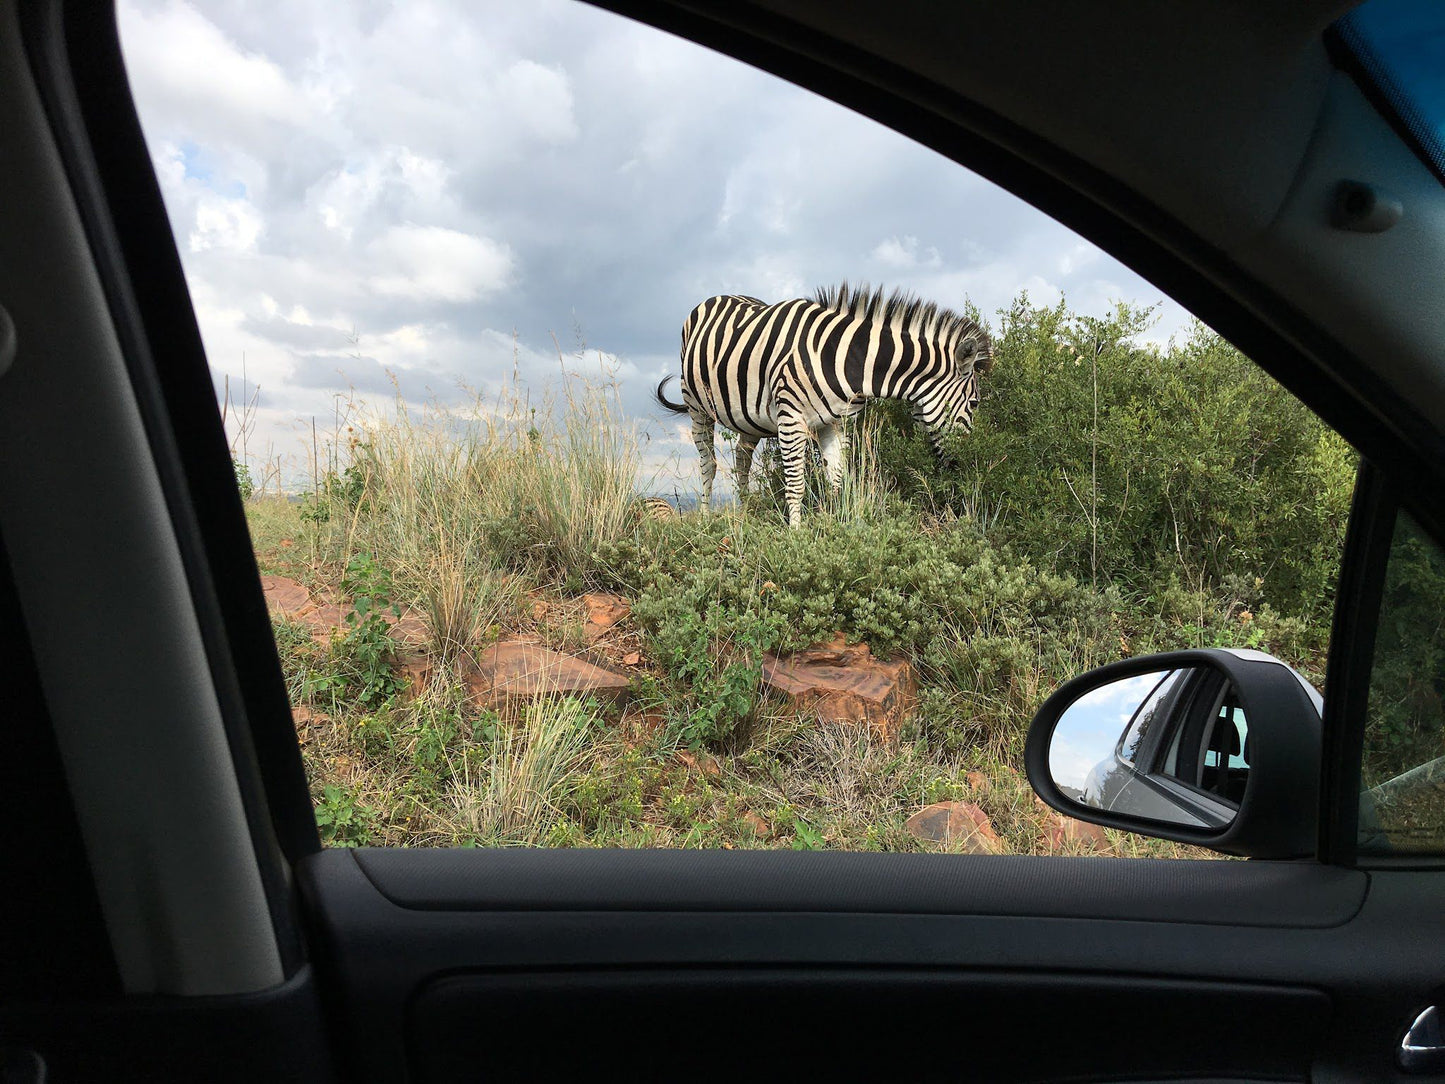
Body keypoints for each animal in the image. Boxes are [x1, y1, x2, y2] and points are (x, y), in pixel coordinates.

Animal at [656, 284, 994, 526]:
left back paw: (747, 510)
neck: (850, 361)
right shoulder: (791, 418)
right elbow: (796, 483)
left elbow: (837, 481)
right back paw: (705, 518)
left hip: (748, 417)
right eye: (975, 403)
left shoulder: (837, 422)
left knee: (741, 457)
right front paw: (797, 536)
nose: (968, 466)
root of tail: (717, 296)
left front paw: (834, 529)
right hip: (697, 406)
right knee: (709, 462)